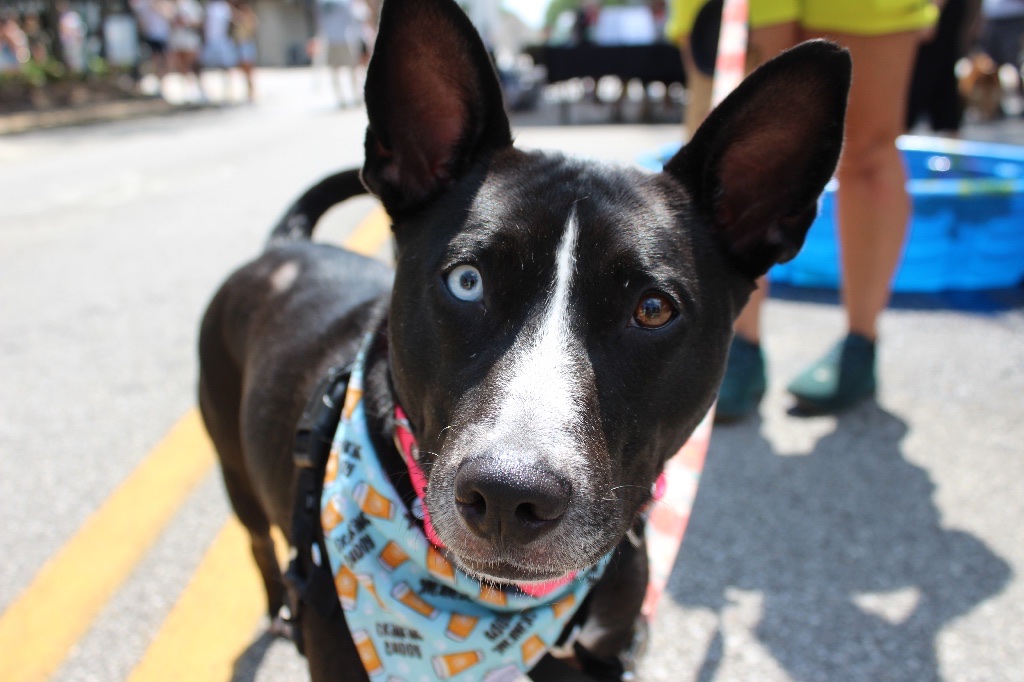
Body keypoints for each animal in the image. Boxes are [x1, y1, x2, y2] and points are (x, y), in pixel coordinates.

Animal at [197, 1, 850, 679]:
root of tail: (285, 247)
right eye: (467, 281)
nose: (509, 494)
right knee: (257, 542)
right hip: (234, 468)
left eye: (652, 309)